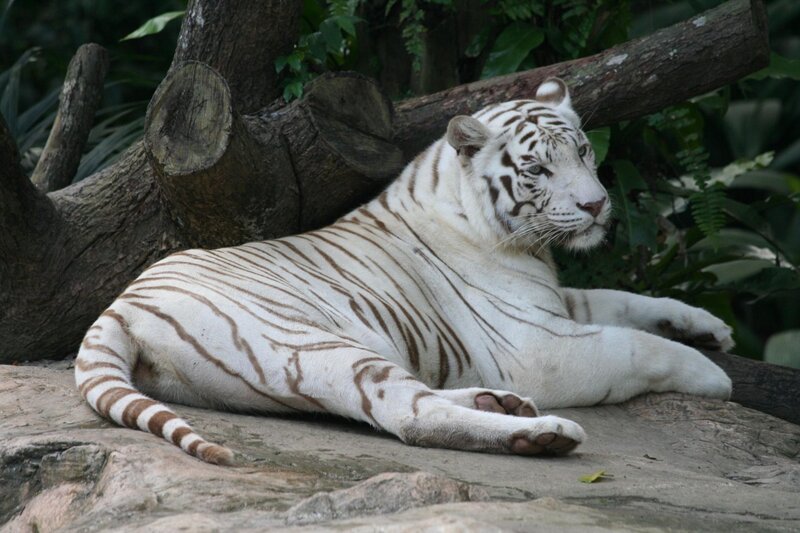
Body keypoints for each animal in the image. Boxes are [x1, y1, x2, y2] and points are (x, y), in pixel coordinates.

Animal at [75, 78, 733, 465]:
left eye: (584, 151)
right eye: (538, 171)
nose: (597, 205)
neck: (525, 246)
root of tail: (118, 306)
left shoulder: (555, 301)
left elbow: (627, 302)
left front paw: (709, 328)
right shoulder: (535, 345)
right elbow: (636, 347)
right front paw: (712, 376)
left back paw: (503, 404)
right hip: (312, 345)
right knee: (408, 414)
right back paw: (540, 433)